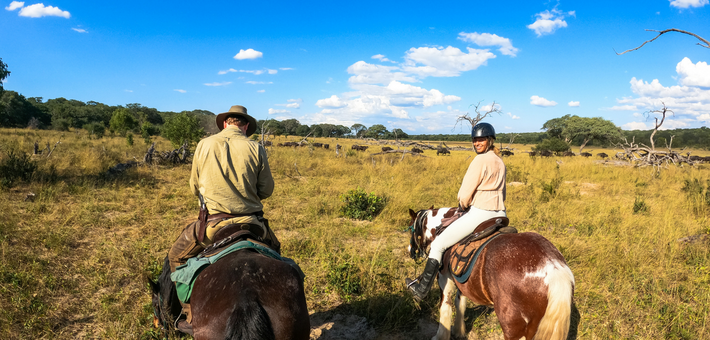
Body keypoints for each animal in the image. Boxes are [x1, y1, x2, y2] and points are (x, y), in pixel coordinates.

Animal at [406, 207, 580, 340]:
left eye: (411, 228)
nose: (410, 251)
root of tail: (554, 268)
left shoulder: (444, 278)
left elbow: (445, 306)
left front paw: (441, 336)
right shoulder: (462, 281)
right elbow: (460, 303)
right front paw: (459, 331)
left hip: (513, 327)